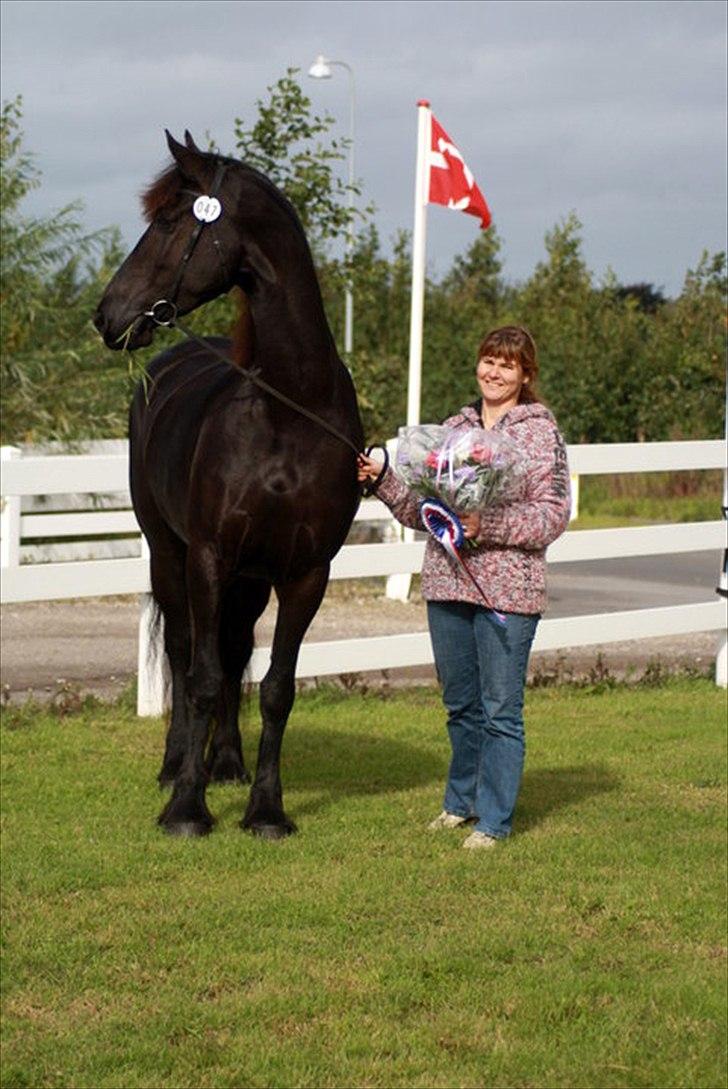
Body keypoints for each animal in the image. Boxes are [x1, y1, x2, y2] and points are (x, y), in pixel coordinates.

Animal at [93, 131, 361, 836]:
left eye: (167, 221)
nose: (106, 315)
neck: (291, 409)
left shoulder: (305, 572)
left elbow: (275, 687)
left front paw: (265, 809)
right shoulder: (209, 558)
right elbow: (203, 677)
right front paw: (186, 808)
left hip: (250, 577)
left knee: (237, 650)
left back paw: (228, 764)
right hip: (170, 555)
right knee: (186, 653)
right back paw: (176, 767)